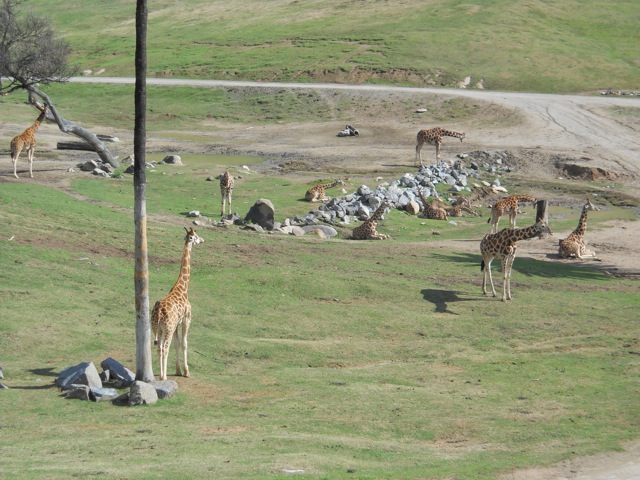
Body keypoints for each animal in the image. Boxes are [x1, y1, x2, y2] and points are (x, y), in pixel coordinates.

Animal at [151, 227, 204, 381]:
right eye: (195, 236)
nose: (202, 240)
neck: (183, 288)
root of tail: (158, 311)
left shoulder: (176, 324)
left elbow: (177, 343)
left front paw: (178, 370)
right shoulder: (187, 319)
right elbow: (184, 343)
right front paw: (186, 372)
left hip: (157, 328)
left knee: (159, 347)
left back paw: (162, 374)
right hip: (167, 328)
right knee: (165, 348)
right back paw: (163, 377)